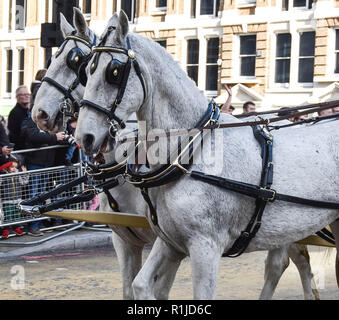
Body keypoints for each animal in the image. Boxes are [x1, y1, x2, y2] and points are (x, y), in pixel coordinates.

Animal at [75, 10, 339, 300]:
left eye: (113, 72)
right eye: (86, 70)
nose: (84, 137)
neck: (189, 152)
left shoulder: (205, 246)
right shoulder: (171, 241)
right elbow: (141, 285)